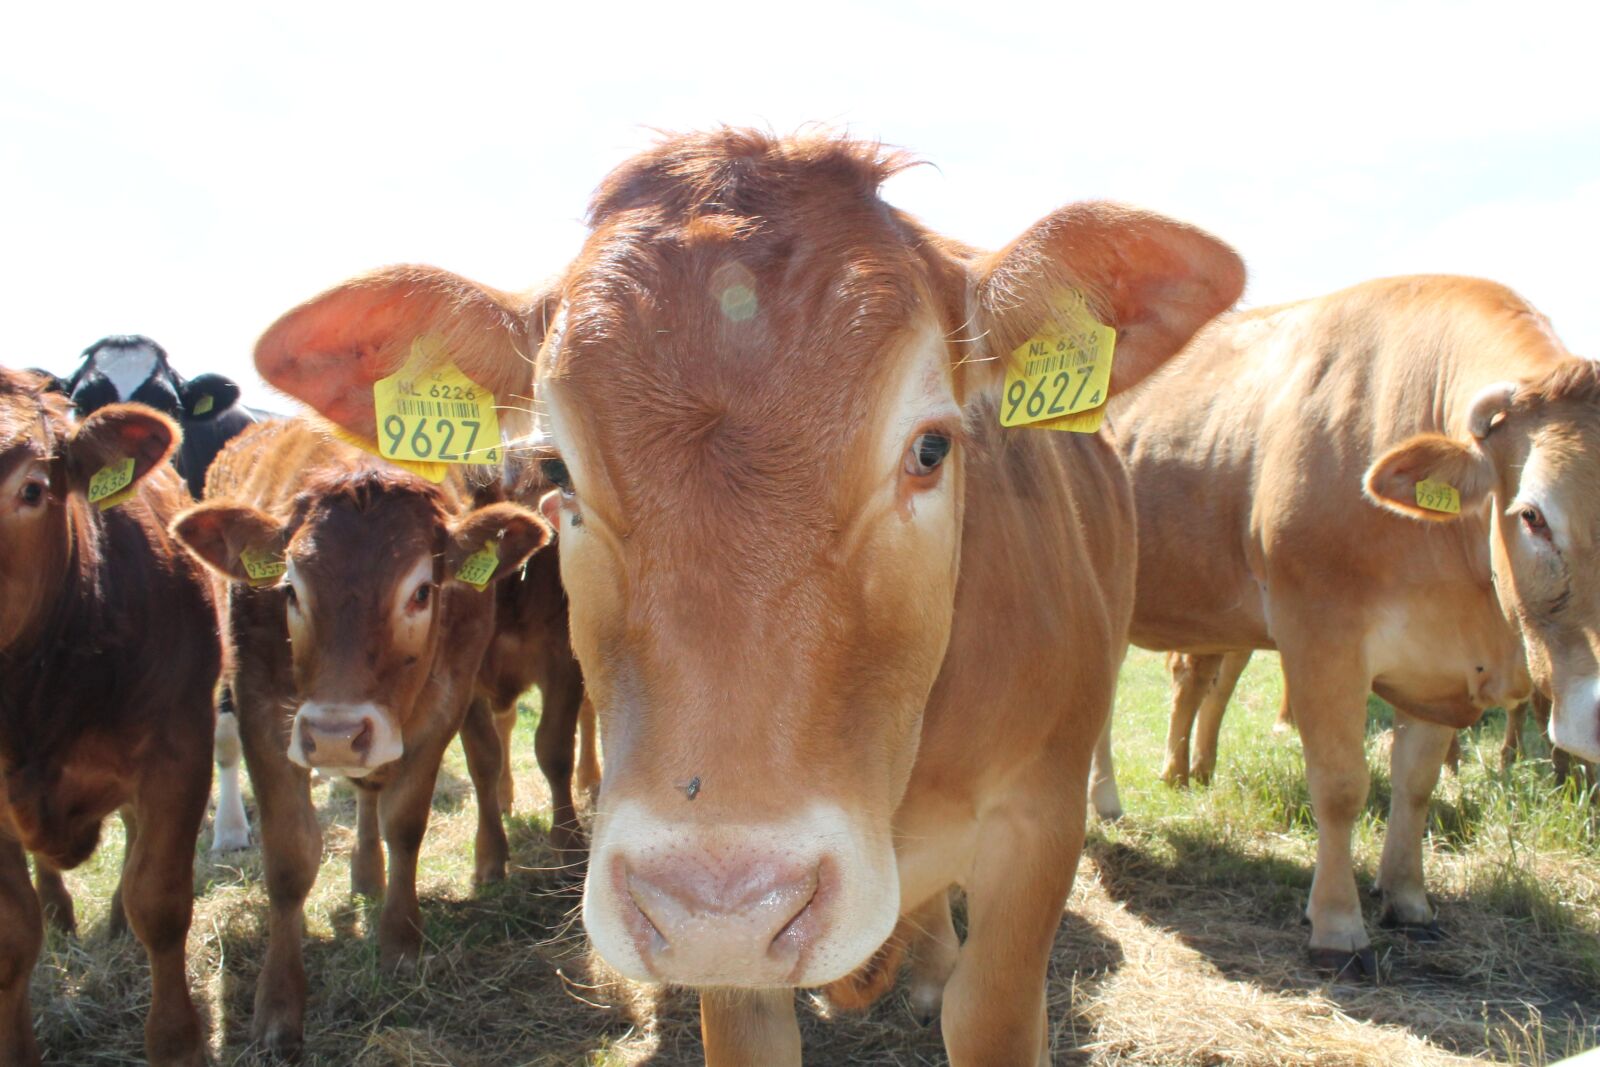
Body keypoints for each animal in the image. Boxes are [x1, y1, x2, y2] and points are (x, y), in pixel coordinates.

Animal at [0, 367, 218, 1066]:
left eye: (32, 489)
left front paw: (176, 1041)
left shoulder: (179, 747)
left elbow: (161, 899)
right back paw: (58, 911)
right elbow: (12, 937)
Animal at [170, 418, 548, 1054]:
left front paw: (400, 943)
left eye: (421, 592)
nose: (334, 735)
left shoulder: (443, 706)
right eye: (290, 590)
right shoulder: (260, 712)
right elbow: (290, 857)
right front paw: (278, 1004)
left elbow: (405, 824)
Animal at [1098, 274, 1600, 977]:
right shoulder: (1320, 636)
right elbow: (1340, 785)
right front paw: (1337, 924)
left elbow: (1414, 786)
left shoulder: (1437, 667)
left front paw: (1408, 899)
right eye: (1532, 516)